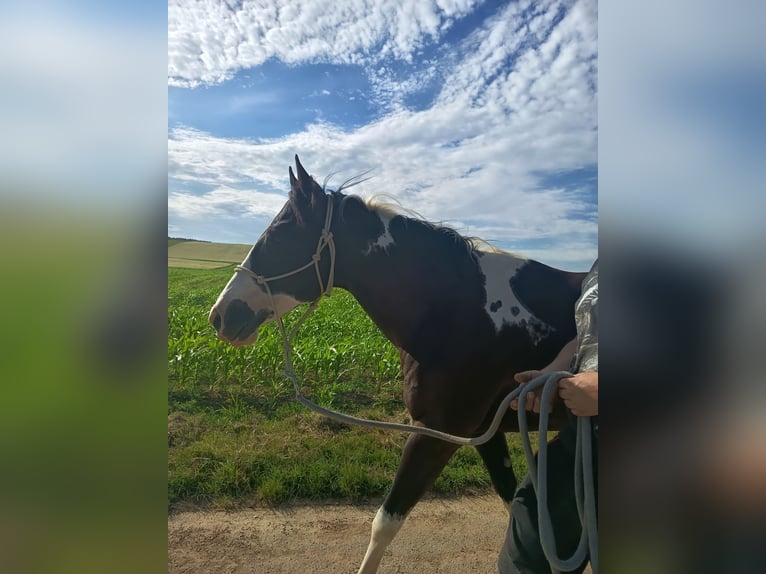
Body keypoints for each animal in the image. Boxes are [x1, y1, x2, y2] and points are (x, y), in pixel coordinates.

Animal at [208, 156, 587, 573]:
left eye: (277, 236)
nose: (219, 316)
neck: (462, 310)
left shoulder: (435, 433)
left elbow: (385, 522)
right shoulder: (483, 434)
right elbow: (511, 505)